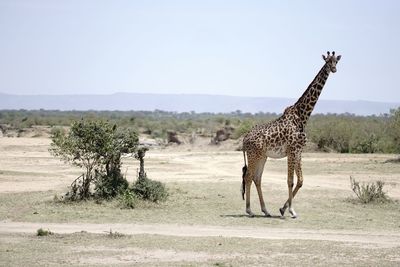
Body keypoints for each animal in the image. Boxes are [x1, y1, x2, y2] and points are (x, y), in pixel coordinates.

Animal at [241, 51, 340, 219]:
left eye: (336, 62)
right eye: (327, 61)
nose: (333, 69)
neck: (302, 116)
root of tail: (244, 139)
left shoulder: (299, 151)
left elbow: (300, 181)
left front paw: (283, 209)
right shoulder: (292, 151)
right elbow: (290, 181)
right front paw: (291, 211)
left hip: (262, 156)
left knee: (257, 178)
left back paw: (265, 210)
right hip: (253, 155)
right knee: (248, 177)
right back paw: (250, 210)